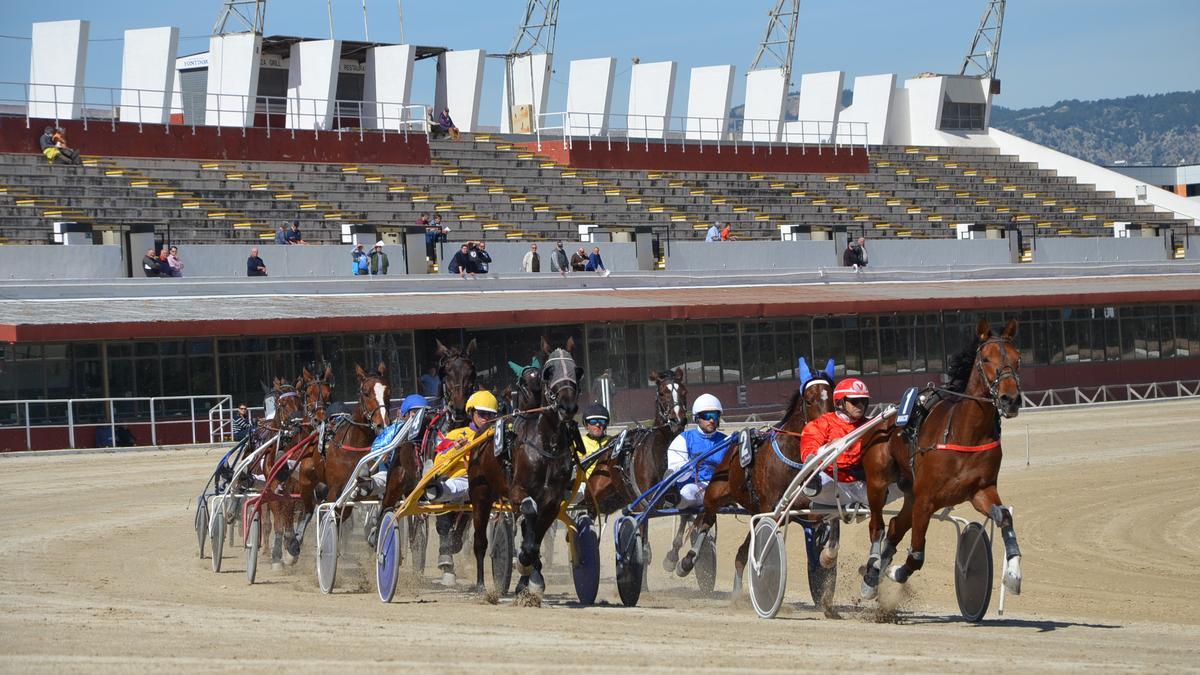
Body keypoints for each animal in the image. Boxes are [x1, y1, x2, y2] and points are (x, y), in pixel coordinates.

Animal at [468, 333, 580, 588]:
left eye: (576, 370)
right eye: (549, 372)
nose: (568, 406)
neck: (547, 444)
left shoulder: (552, 501)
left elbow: (535, 539)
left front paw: (531, 579)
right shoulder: (518, 492)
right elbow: (528, 519)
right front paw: (524, 565)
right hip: (480, 493)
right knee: (480, 541)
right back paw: (480, 584)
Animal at [676, 360, 835, 590]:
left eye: (832, 398)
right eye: (809, 399)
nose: (826, 433)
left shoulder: (798, 506)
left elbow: (822, 519)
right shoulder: (770, 507)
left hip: (753, 510)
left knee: (741, 552)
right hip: (715, 492)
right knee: (705, 519)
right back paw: (687, 560)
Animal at [859, 317, 1027, 595]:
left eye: (1018, 359)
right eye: (986, 359)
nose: (1010, 399)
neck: (964, 433)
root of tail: (885, 417)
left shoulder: (980, 491)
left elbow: (1005, 516)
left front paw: (1013, 574)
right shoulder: (926, 499)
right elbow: (917, 555)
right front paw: (896, 571)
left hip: (909, 492)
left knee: (894, 527)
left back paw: (878, 569)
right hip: (877, 482)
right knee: (877, 526)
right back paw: (872, 574)